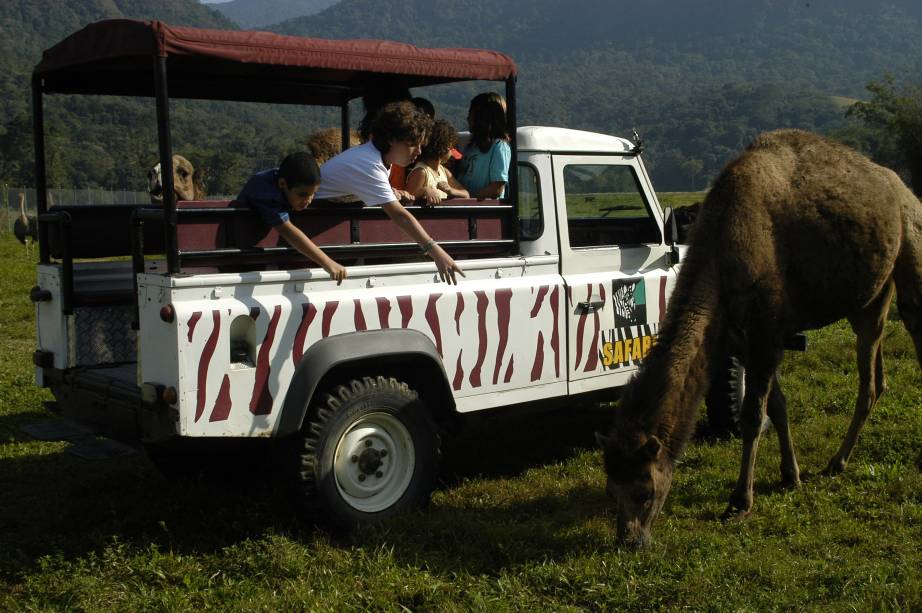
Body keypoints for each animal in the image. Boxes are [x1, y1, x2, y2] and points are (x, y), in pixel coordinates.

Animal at [596, 128, 920, 544]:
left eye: (645, 491)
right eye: (610, 489)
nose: (629, 540)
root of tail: (901, 187)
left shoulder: (766, 328)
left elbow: (753, 415)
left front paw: (740, 502)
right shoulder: (745, 336)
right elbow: (777, 405)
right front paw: (790, 475)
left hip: (910, 247)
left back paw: (838, 461)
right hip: (870, 299)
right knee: (876, 371)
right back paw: (838, 459)